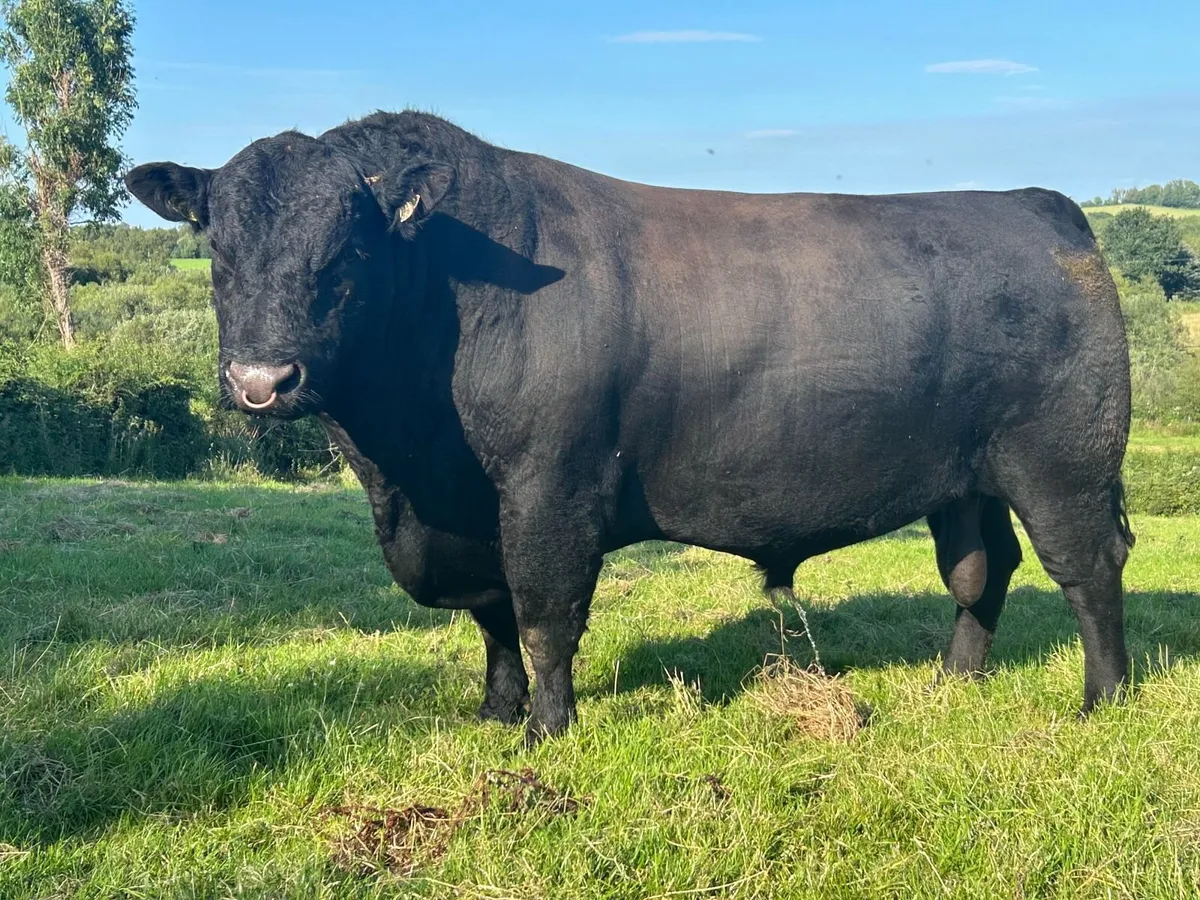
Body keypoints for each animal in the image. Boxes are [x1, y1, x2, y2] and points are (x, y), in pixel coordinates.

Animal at [126, 110, 1135, 745]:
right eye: (218, 247)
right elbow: (493, 618)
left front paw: (547, 731)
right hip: (968, 477)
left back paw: (1103, 702)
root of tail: (1039, 205)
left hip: (1064, 464)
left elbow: (542, 613)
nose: (262, 382)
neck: (406, 470)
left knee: (1088, 570)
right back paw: (953, 683)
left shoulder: (549, 487)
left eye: (348, 250)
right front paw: (495, 714)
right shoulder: (468, 511)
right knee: (979, 570)